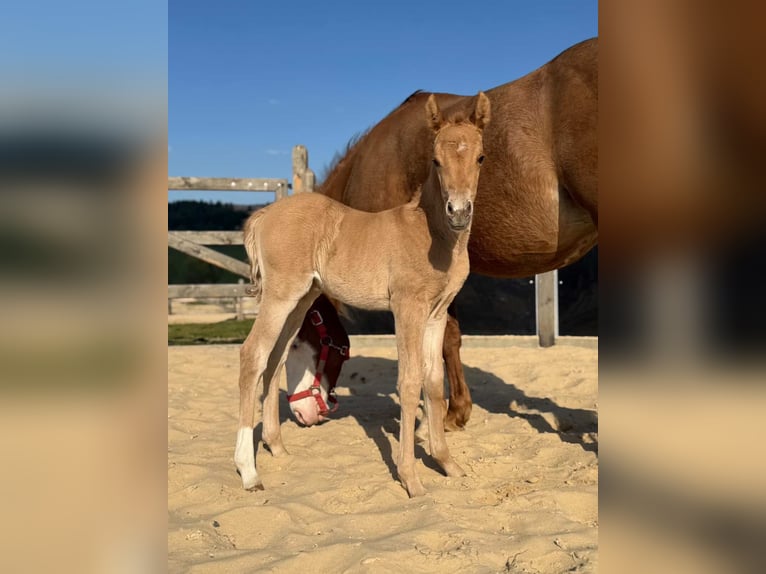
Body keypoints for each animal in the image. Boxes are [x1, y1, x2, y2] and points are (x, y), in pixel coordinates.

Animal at [235, 93, 490, 497]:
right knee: (252, 356)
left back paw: (277, 446)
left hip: (301, 299)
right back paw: (248, 471)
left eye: (480, 157)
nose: (459, 212)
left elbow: (434, 383)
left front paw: (448, 464)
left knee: (274, 359)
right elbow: (410, 382)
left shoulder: (436, 313)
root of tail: (264, 215)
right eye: (436, 160)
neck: (431, 233)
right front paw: (410, 478)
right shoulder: (406, 308)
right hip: (280, 295)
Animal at [284, 37, 598, 431]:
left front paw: (439, 416)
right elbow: (450, 337)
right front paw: (456, 410)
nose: (301, 413)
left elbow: (436, 341)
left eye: (295, 341)